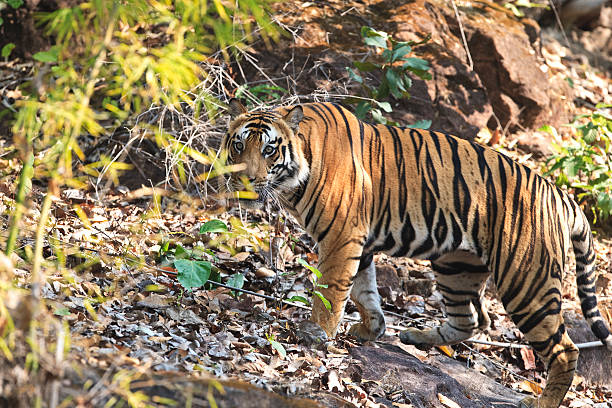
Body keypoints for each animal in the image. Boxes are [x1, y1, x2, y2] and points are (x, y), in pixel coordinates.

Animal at [220, 99, 612, 408]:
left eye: (269, 150)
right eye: (238, 145)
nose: (243, 178)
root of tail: (560, 194)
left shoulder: (341, 238)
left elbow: (331, 292)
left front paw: (316, 334)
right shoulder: (358, 242)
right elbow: (363, 291)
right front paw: (371, 329)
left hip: (525, 283)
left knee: (564, 350)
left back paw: (540, 401)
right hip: (456, 266)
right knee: (472, 320)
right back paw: (415, 337)